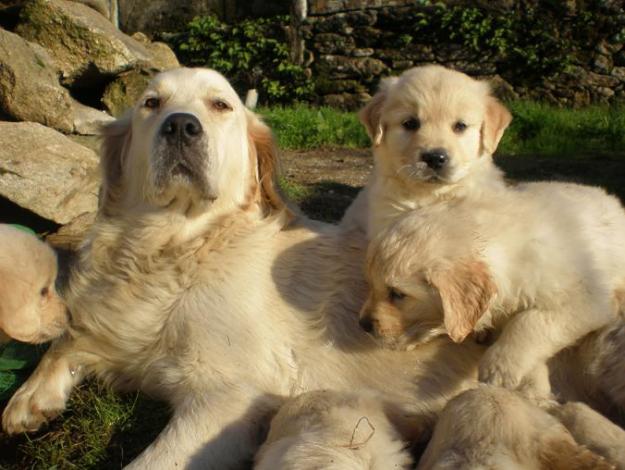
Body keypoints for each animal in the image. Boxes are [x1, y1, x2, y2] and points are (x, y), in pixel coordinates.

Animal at [358, 182, 624, 392]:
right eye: (370, 284)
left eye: (398, 294)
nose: (363, 325)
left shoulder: (585, 299)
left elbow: (528, 322)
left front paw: (500, 366)